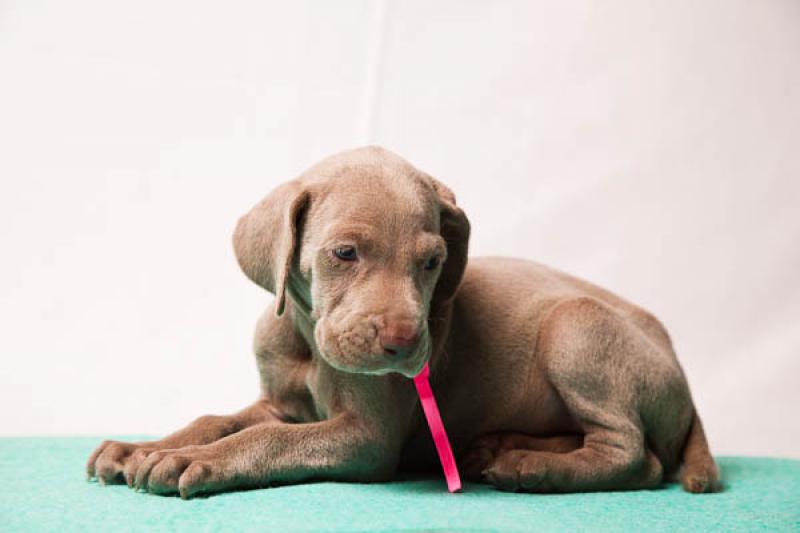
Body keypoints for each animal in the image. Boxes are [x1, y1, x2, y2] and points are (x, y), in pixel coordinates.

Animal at [86, 147, 720, 498]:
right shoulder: (280, 403)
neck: (308, 341)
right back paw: (499, 449)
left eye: (433, 263)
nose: (405, 343)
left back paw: (531, 467)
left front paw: (197, 460)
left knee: (635, 456)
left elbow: (266, 439)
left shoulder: (364, 439)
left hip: (575, 323)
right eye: (344, 254)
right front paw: (142, 448)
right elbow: (216, 419)